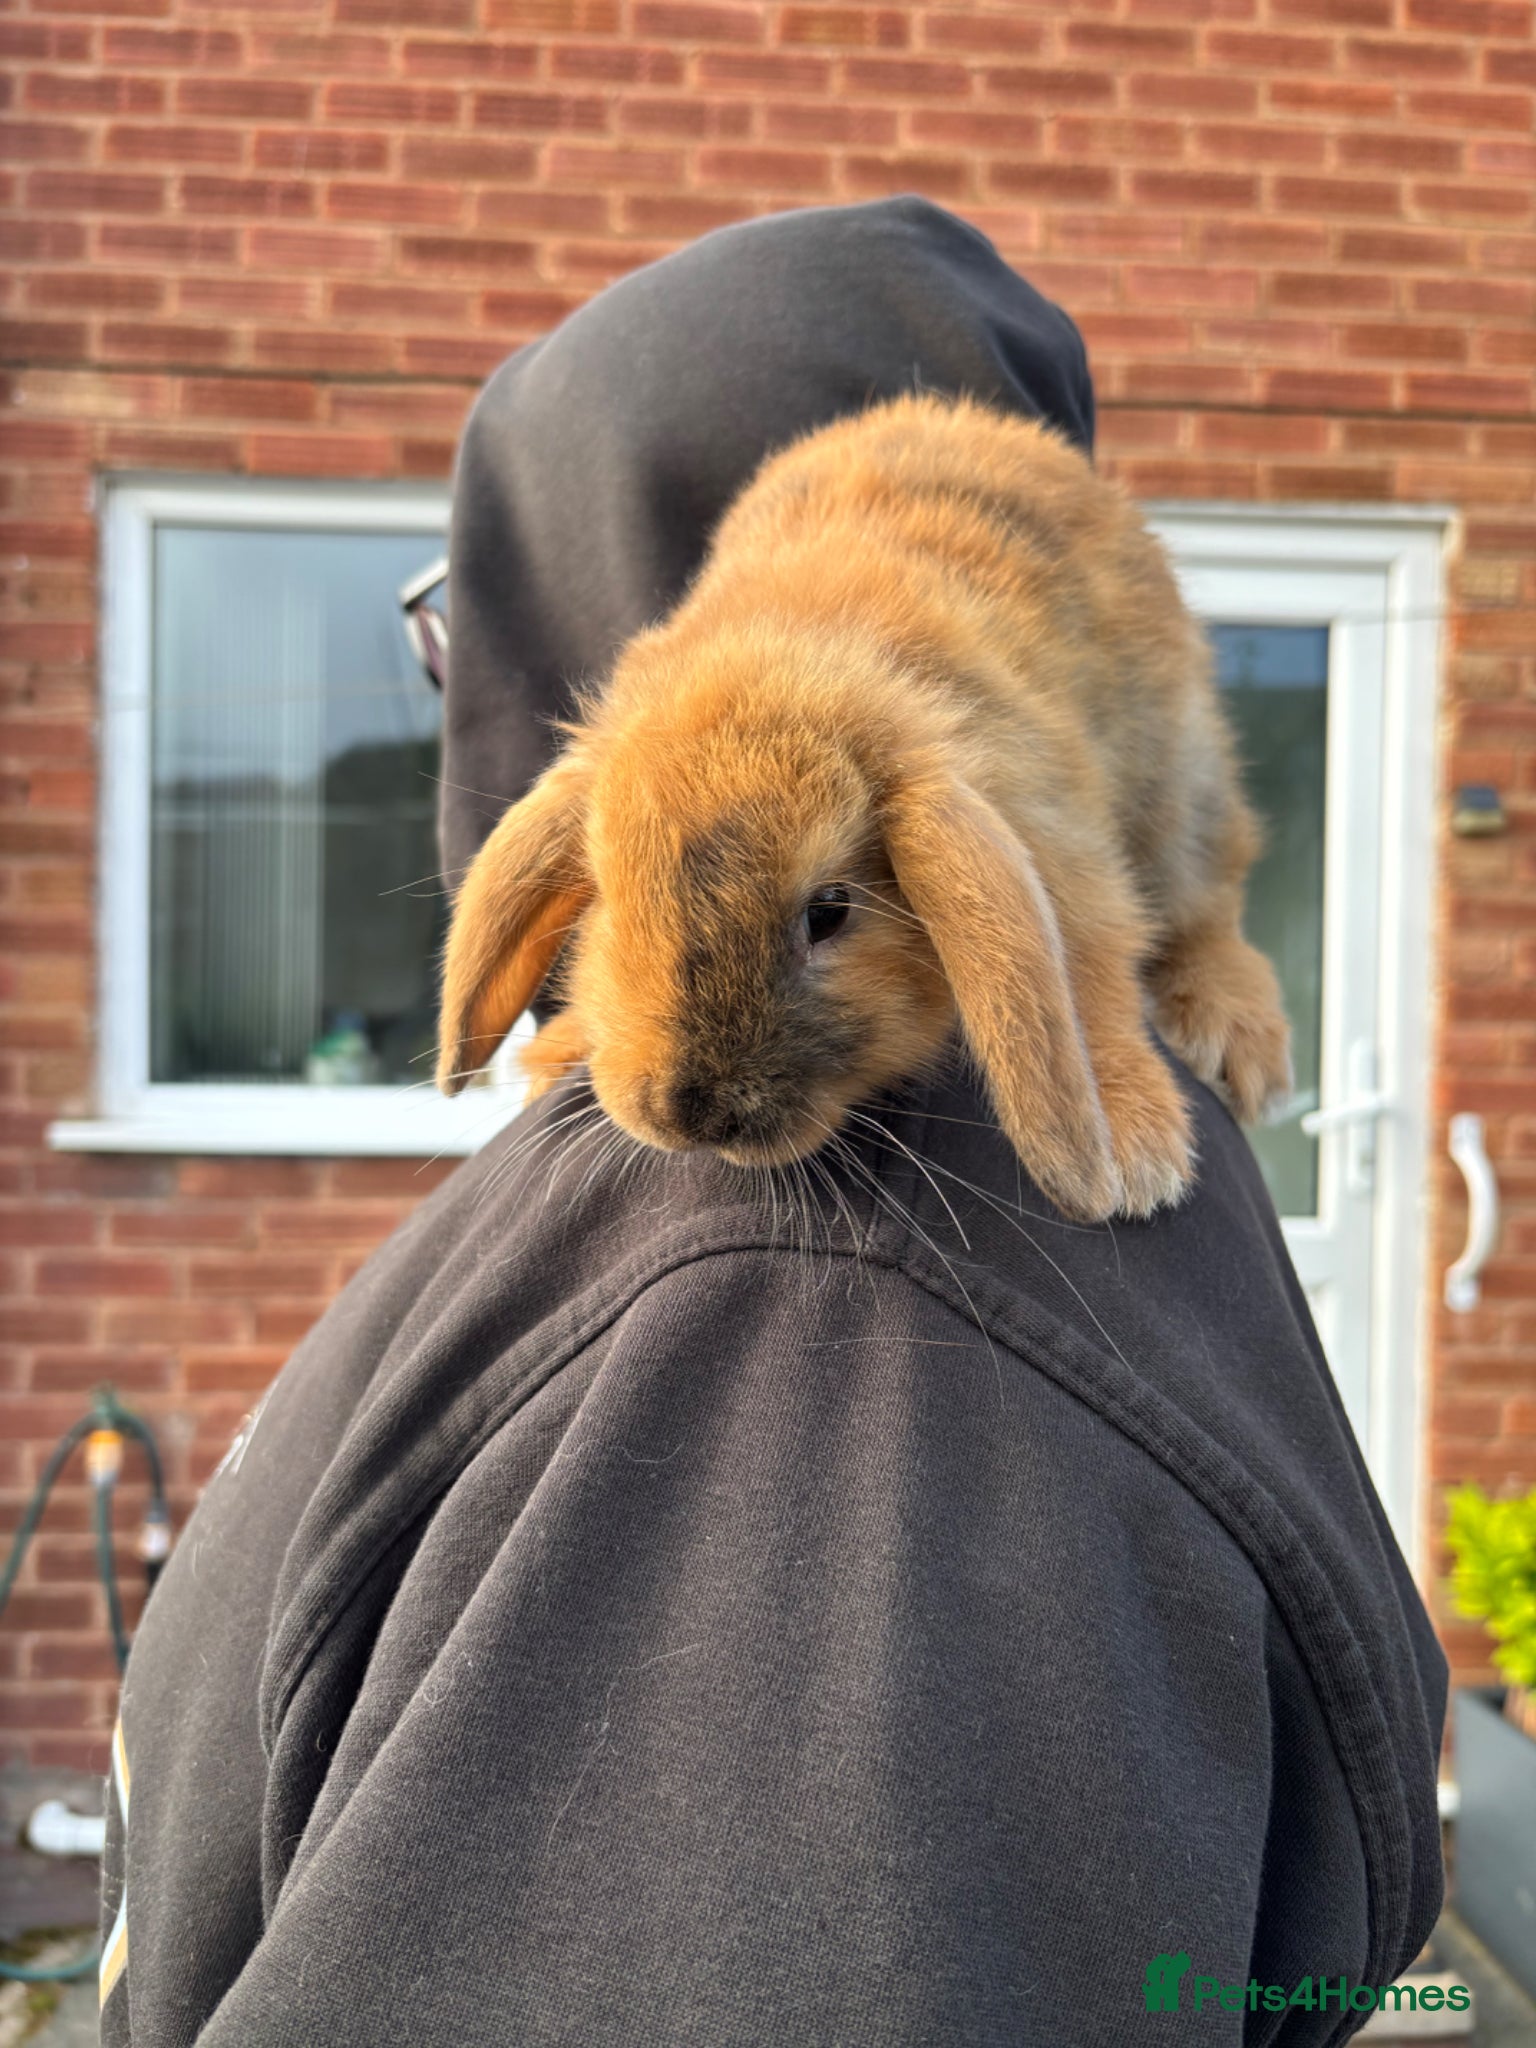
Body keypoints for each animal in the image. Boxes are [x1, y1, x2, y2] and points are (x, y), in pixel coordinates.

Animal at [437, 391, 1292, 1224]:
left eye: (830, 912)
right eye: (611, 902)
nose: (688, 1116)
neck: (797, 658)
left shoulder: (1066, 852)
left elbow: (1089, 978)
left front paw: (1130, 1143)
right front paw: (560, 1050)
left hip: (1179, 780)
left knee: (1206, 901)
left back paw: (1237, 1041)